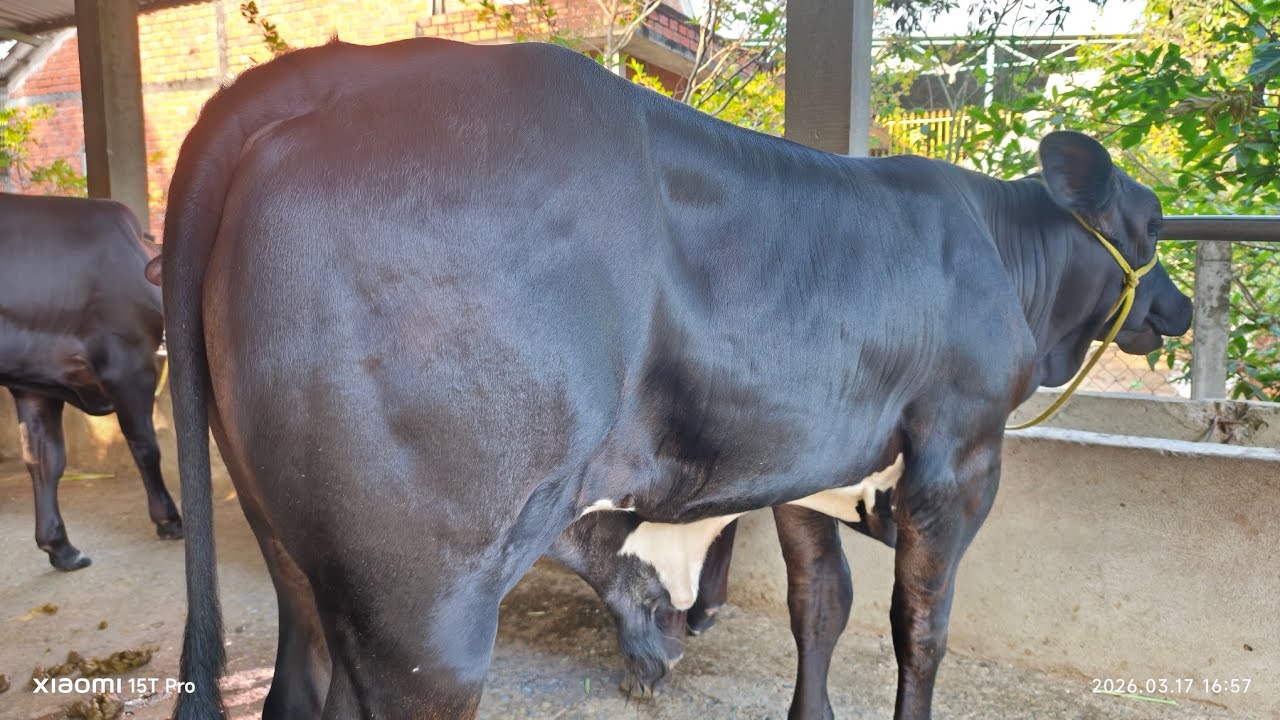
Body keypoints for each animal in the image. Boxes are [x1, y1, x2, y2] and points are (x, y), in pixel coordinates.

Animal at [0, 193, 184, 570]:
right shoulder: (128, 362)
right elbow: (146, 445)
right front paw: (169, 519)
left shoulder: (35, 385)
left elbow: (45, 460)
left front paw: (60, 547)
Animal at [159, 38, 1191, 720]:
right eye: (1151, 223)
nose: (1176, 306)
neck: (1006, 255)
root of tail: (314, 77)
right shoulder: (960, 457)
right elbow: (919, 628)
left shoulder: (810, 465)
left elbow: (821, 608)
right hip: (422, 605)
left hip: (301, 564)